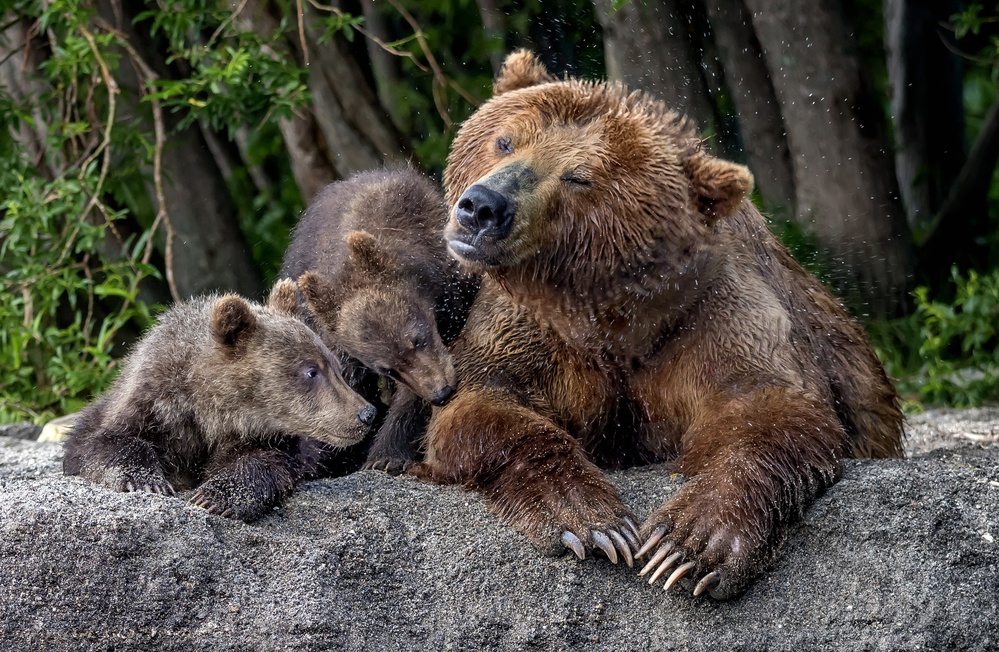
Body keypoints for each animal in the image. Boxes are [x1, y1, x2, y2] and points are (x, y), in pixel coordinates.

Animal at [62, 279, 378, 522]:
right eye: (311, 370)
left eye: (335, 366)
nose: (366, 413)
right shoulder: (151, 403)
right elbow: (106, 443)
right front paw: (147, 481)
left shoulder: (266, 438)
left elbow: (259, 464)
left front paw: (213, 496)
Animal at [411, 50, 904, 600]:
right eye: (505, 140)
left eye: (579, 176)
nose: (482, 206)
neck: (618, 318)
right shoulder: (529, 327)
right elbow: (483, 404)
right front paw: (590, 520)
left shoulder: (714, 318)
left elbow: (771, 409)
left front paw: (689, 545)